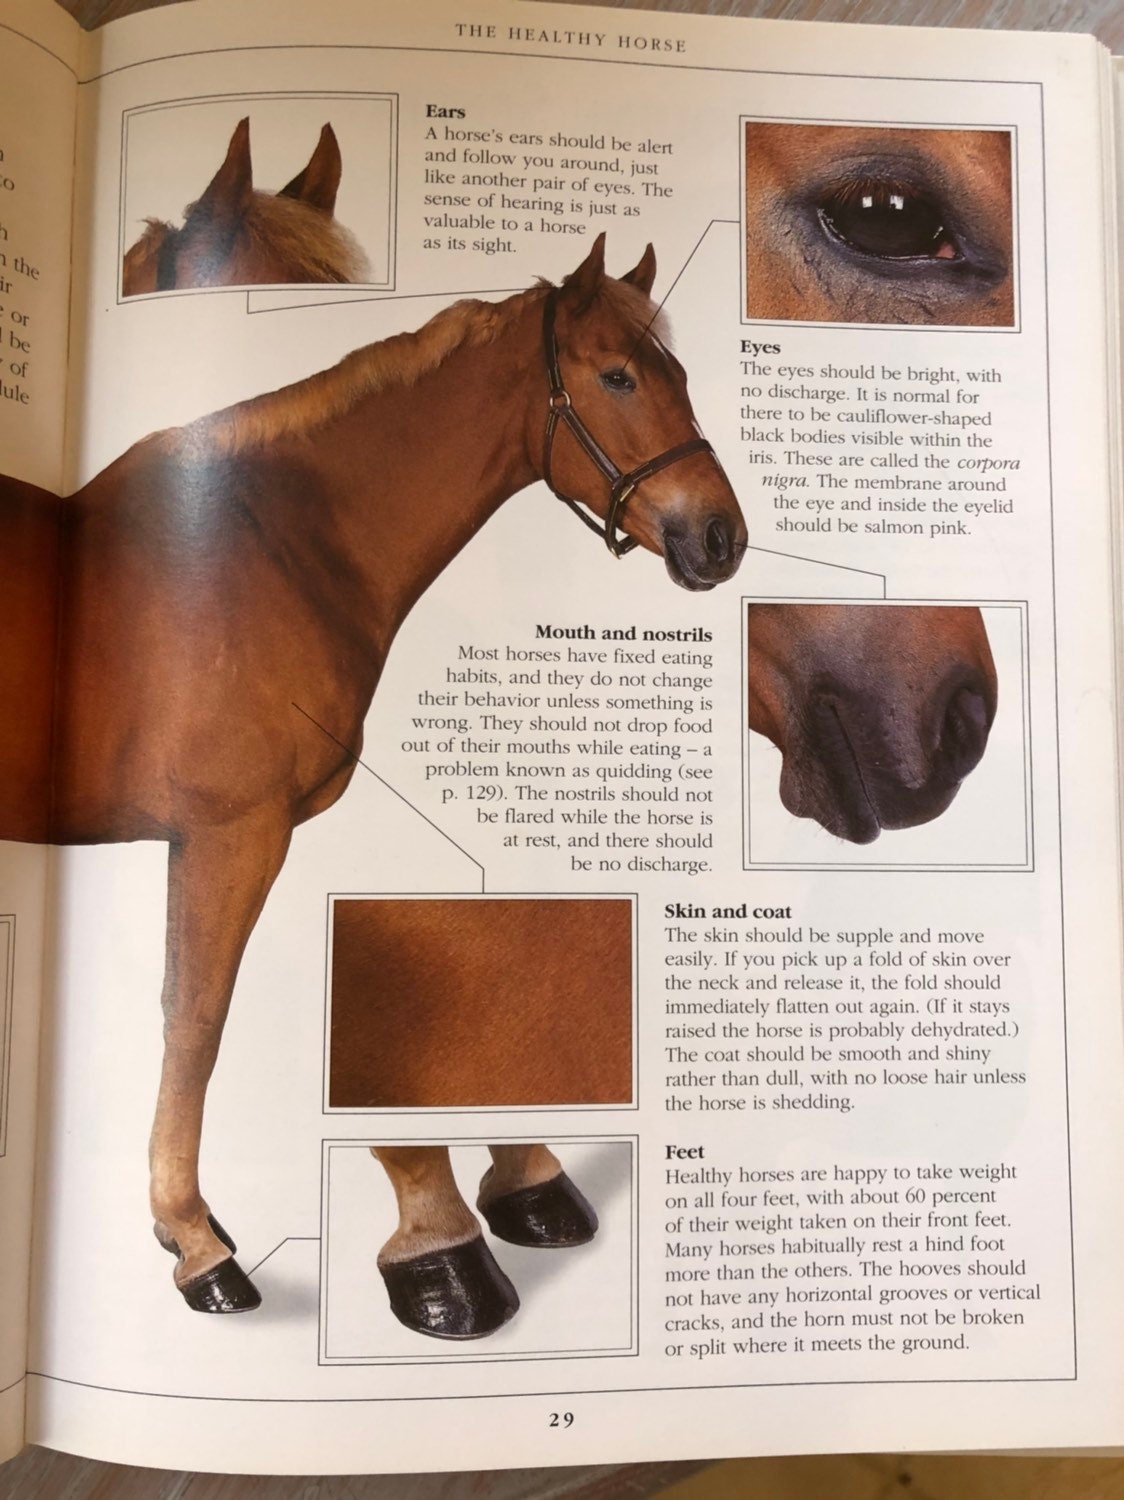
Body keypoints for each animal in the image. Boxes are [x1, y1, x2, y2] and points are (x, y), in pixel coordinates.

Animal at [2, 234, 746, 1330]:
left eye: (680, 374)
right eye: (617, 375)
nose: (720, 537)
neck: (272, 550)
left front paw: (523, 1174)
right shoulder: (233, 834)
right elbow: (198, 1021)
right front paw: (202, 1244)